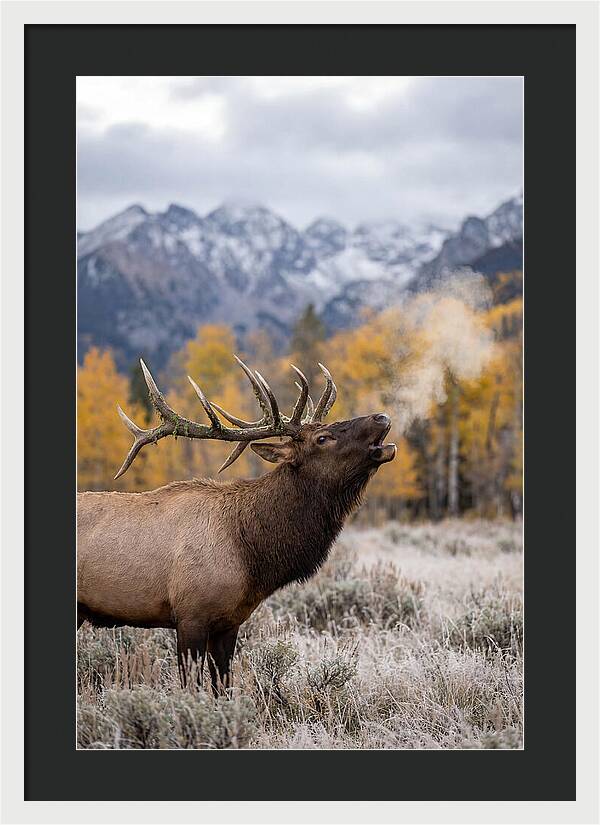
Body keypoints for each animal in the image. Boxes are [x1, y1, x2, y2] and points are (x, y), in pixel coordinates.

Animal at [77, 356, 396, 693]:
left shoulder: (229, 622)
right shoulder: (190, 615)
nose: (381, 417)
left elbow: (224, 685)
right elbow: (191, 687)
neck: (250, 555)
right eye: (322, 438)